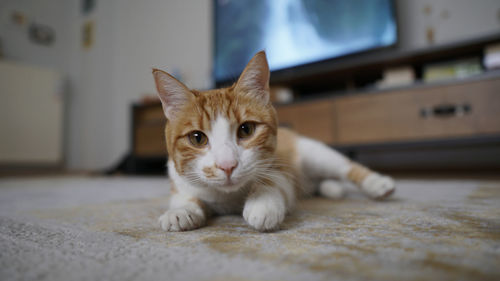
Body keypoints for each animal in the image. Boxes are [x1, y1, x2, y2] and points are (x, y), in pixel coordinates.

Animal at [152, 51, 394, 231]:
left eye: (246, 129)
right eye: (197, 138)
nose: (227, 166)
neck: (229, 198)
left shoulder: (281, 165)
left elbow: (273, 181)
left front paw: (262, 203)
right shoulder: (179, 179)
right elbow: (184, 196)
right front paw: (180, 211)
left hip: (315, 154)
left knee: (347, 168)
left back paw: (377, 184)